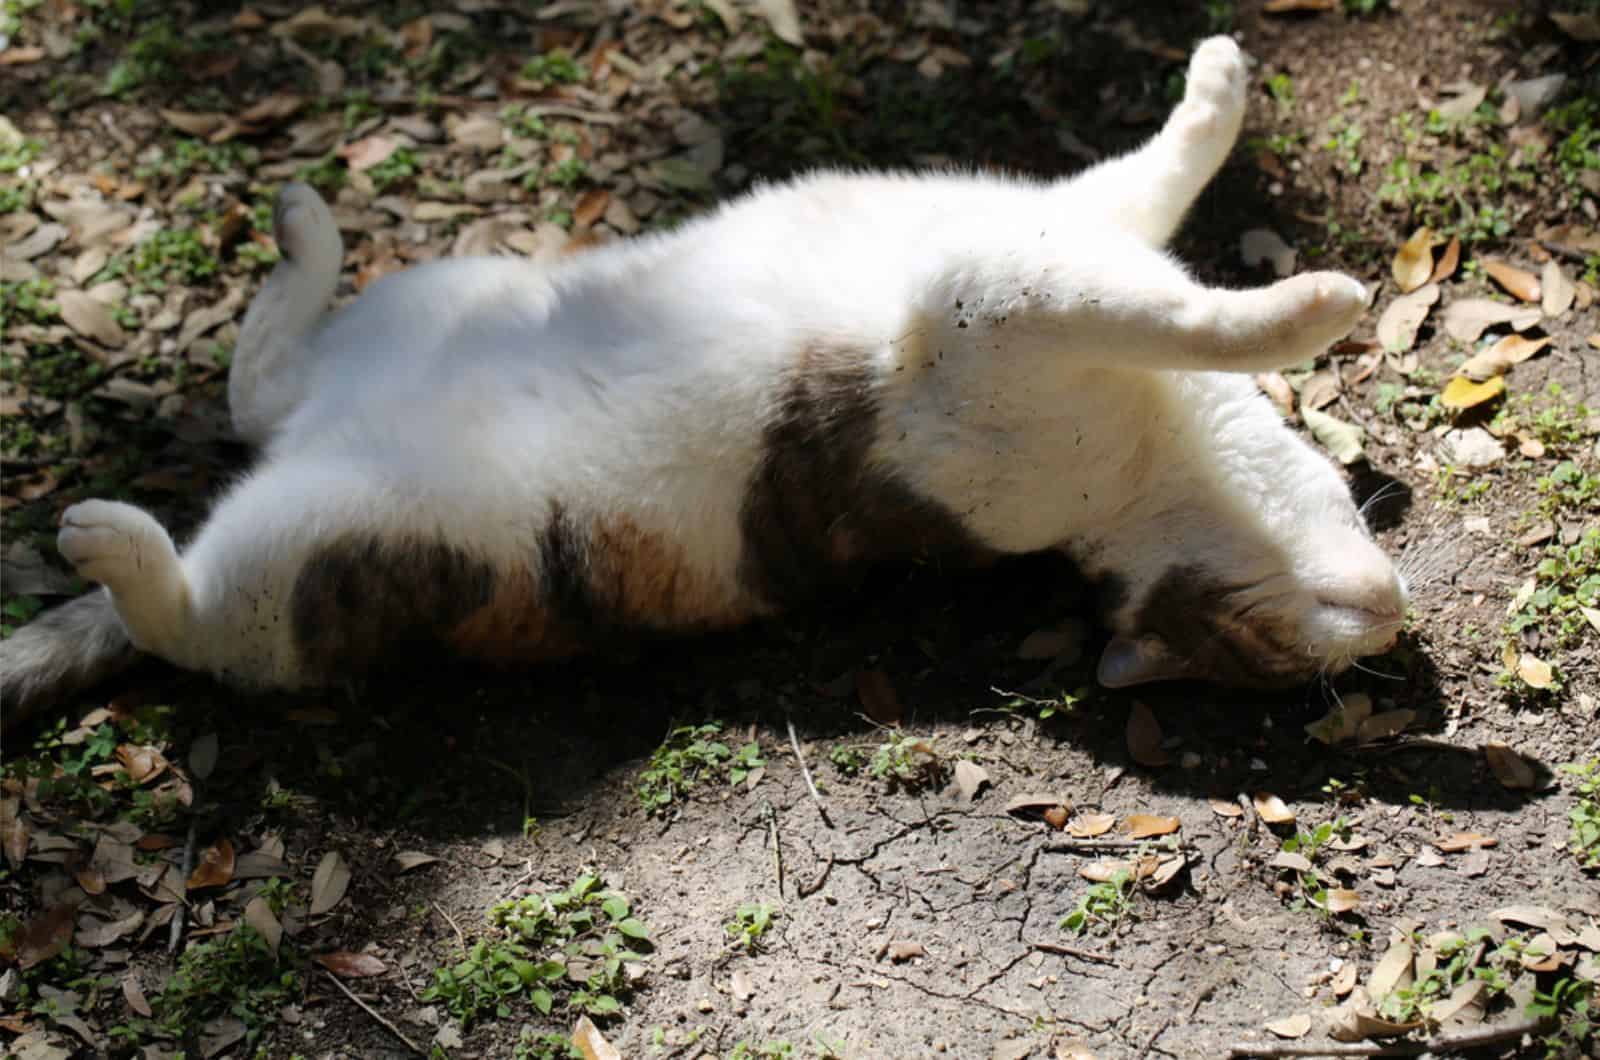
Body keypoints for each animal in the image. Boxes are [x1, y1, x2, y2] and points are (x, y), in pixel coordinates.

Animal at [0, 35, 1401, 730]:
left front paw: (1299, 297)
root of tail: (321, 439)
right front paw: (1298, 262)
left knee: (201, 578)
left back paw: (113, 526)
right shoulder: (1039, 252)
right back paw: (299, 237)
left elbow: (1167, 276)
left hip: (330, 535)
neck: (1158, 451)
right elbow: (1169, 209)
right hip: (436, 307)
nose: (1387, 622)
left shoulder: (1002, 294)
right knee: (243, 436)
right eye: (1276, 645)